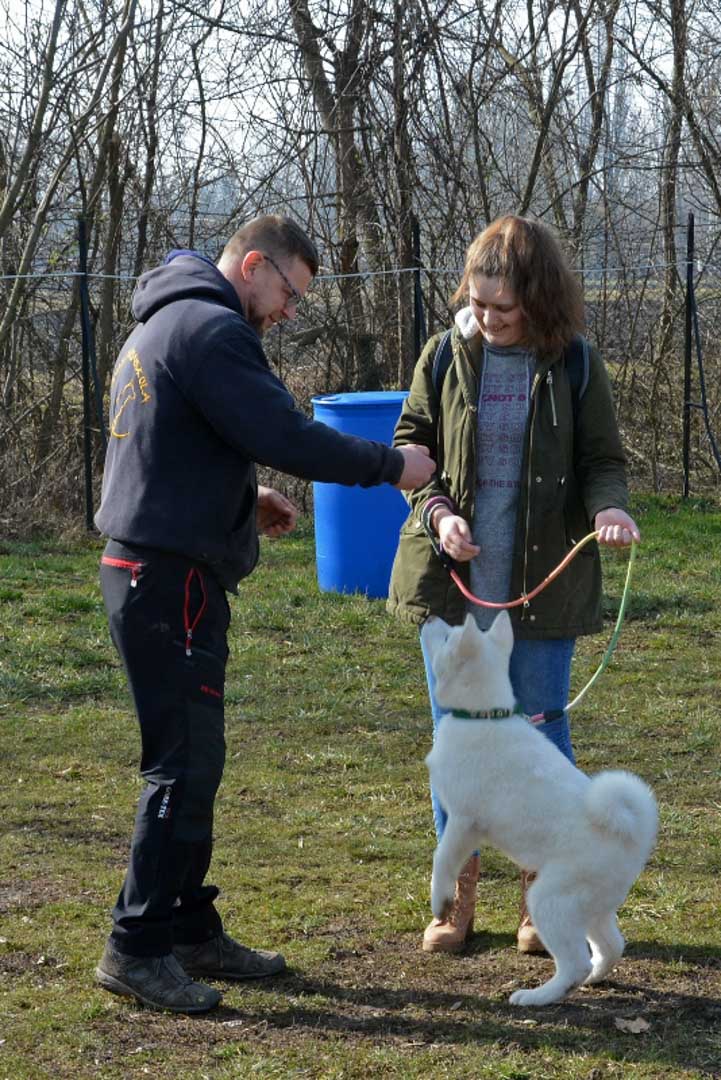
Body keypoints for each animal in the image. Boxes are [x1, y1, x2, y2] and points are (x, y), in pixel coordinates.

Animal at [422, 610, 658, 1006]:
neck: (483, 714)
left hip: (550, 900)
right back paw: (592, 978)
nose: (430, 616)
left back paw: (538, 996)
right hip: (591, 908)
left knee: (575, 962)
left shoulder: (464, 821)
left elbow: (442, 860)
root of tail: (631, 835)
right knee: (611, 946)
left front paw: (441, 900)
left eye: (448, 637)